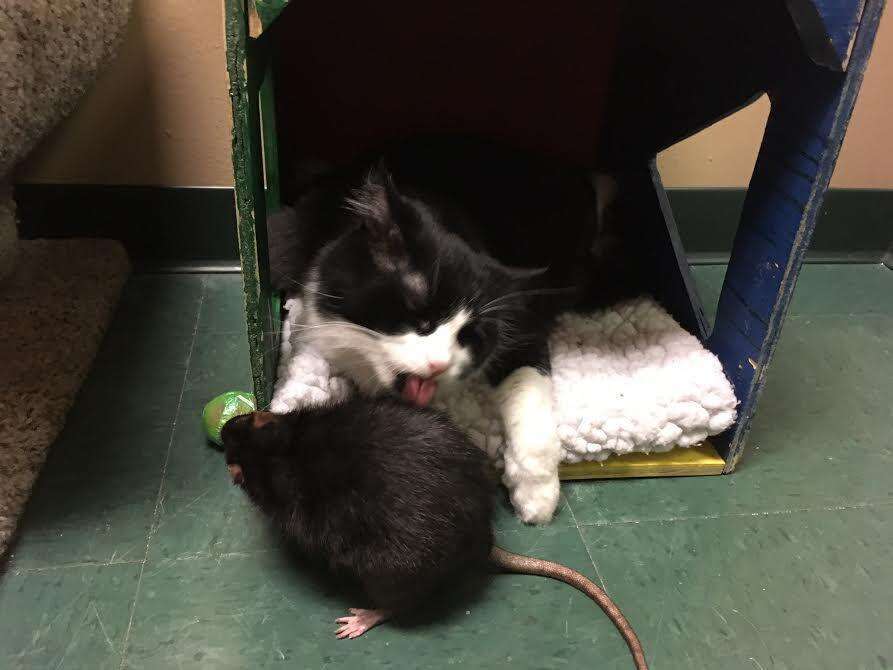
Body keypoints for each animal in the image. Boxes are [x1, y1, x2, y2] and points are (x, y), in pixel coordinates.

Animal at [268, 135, 636, 524]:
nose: (439, 365)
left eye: (470, 336)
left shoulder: (523, 317)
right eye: (420, 316)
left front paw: (536, 490)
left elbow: (528, 380)